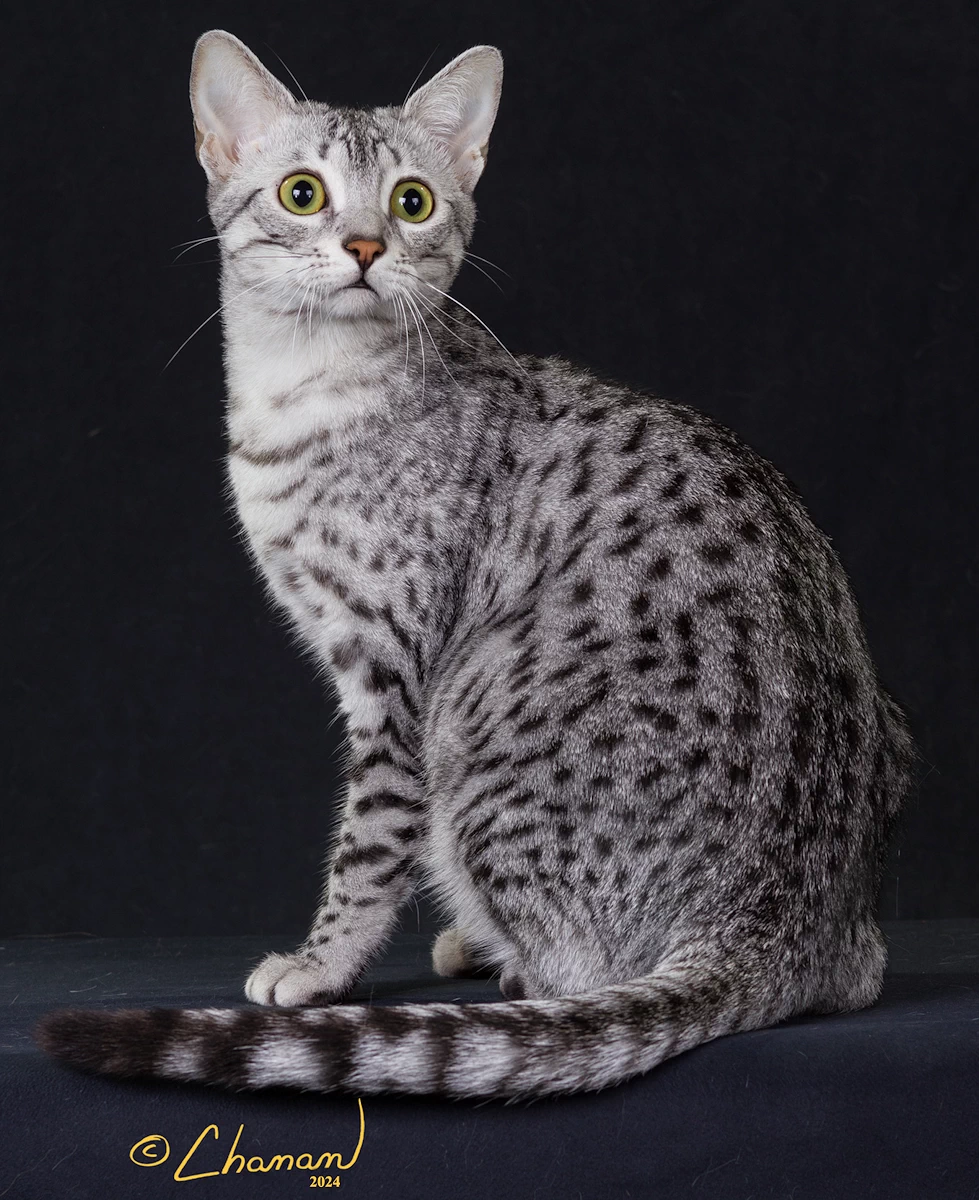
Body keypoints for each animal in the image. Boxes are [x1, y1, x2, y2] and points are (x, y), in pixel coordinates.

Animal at [37, 28, 915, 1099]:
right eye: (302, 193)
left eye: (412, 201)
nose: (365, 246)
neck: (301, 389)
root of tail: (772, 926)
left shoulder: (392, 675)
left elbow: (369, 844)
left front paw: (321, 964)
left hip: (467, 708)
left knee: (573, 978)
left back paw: (501, 957)